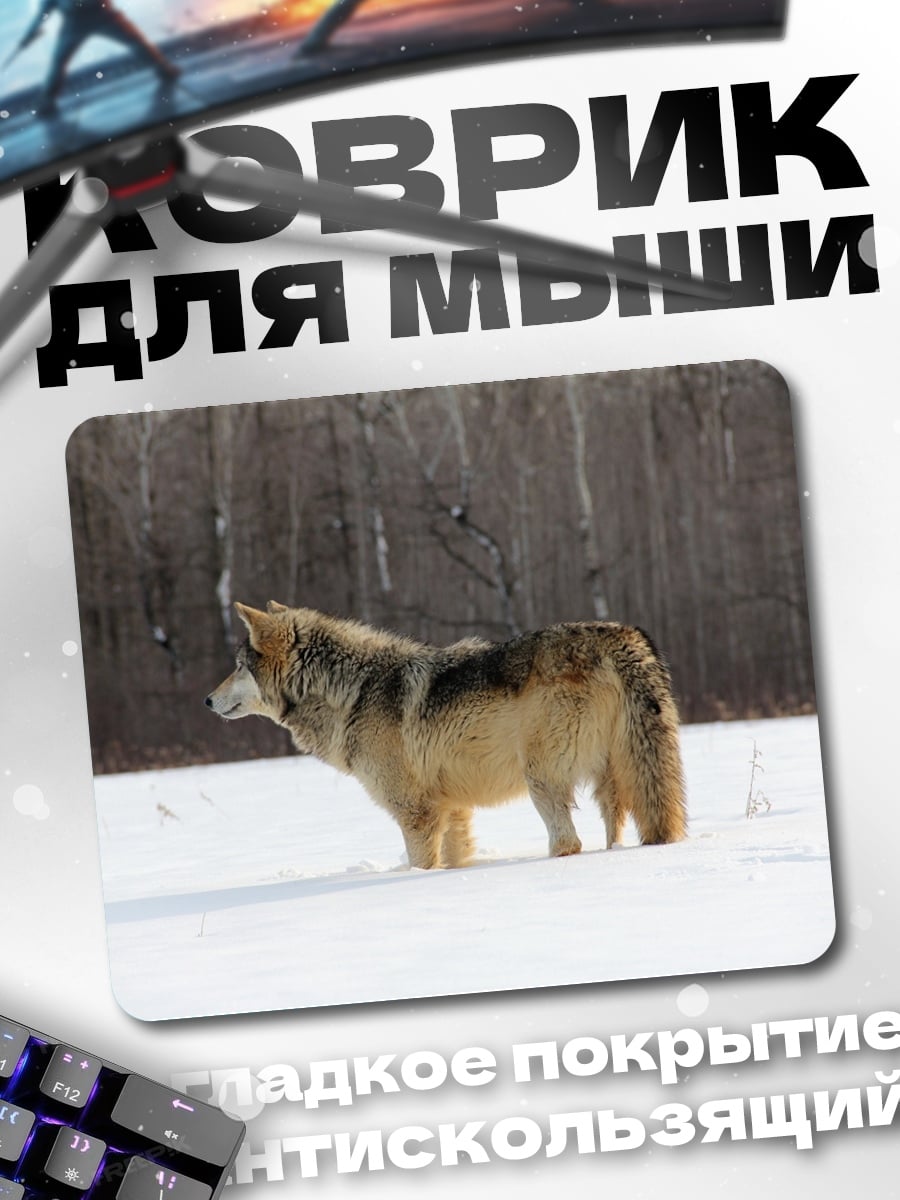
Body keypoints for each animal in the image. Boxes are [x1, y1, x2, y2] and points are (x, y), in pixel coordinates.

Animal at [205, 603, 687, 869]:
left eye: (239, 666)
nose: (207, 701)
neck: (352, 691)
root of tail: (624, 635)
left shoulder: (416, 813)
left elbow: (422, 866)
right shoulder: (452, 809)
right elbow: (454, 860)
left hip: (541, 778)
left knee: (568, 842)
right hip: (615, 780)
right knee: (615, 833)